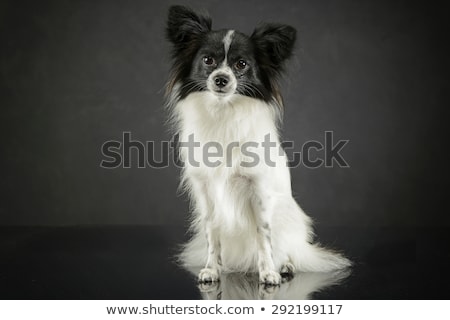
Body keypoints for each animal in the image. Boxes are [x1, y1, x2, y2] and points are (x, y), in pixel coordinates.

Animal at [165, 5, 352, 284]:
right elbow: (213, 235)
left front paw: (269, 273)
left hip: (288, 220)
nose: (221, 79)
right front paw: (212, 269)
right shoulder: (207, 193)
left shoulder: (258, 191)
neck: (224, 112)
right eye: (208, 61)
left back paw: (285, 266)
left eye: (241, 64)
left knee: (288, 249)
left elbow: (263, 236)